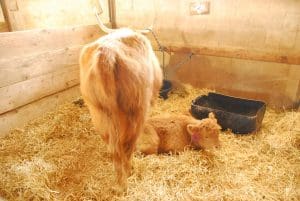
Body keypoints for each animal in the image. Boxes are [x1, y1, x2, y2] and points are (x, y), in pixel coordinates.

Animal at [78, 15, 163, 192]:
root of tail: (106, 53)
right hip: (137, 111)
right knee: (126, 144)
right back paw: (127, 176)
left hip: (98, 112)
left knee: (112, 147)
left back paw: (118, 181)